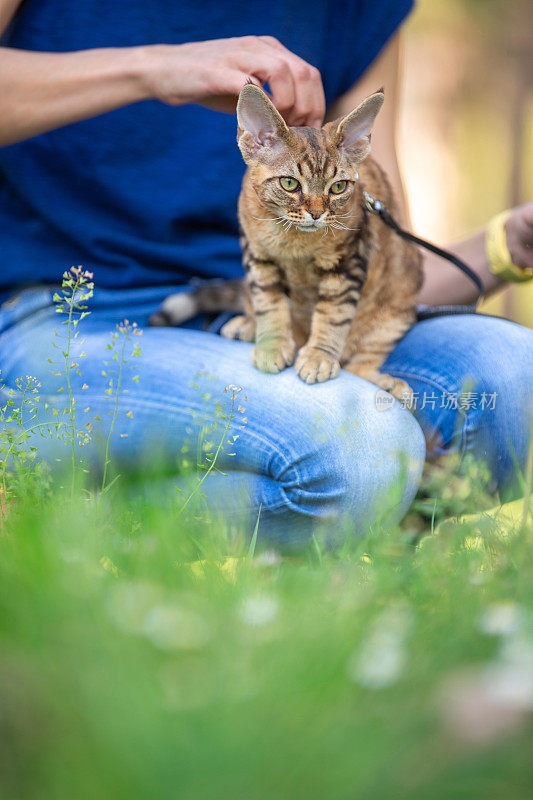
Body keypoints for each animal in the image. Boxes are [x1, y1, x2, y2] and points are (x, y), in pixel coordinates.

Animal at [151, 83, 424, 400]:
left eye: (338, 187)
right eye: (290, 183)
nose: (317, 213)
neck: (294, 240)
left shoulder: (348, 261)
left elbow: (334, 313)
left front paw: (319, 356)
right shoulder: (257, 257)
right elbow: (269, 302)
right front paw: (272, 345)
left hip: (394, 313)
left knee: (360, 364)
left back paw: (389, 385)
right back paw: (246, 326)